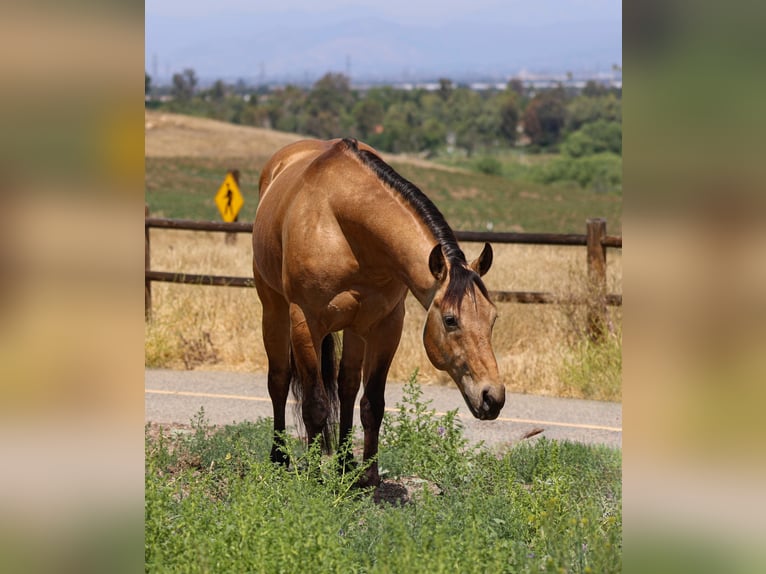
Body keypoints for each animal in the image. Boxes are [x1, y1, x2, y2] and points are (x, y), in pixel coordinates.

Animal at [252, 137, 505, 487]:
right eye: (450, 320)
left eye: (493, 319)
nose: (492, 397)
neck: (344, 222)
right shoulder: (305, 321)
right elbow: (314, 403)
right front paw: (316, 478)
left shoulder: (386, 325)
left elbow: (372, 402)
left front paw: (368, 475)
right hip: (274, 310)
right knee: (279, 380)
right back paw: (280, 459)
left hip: (355, 328)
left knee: (346, 386)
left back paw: (345, 462)